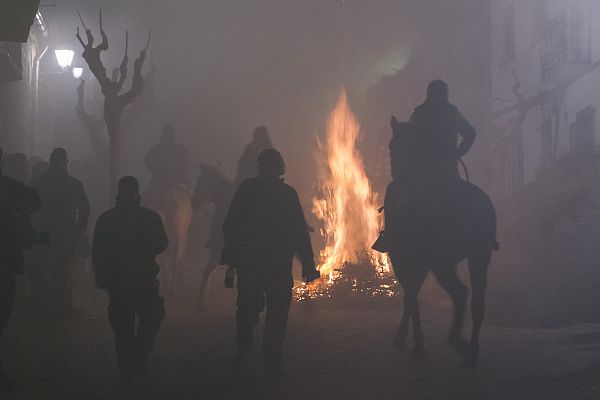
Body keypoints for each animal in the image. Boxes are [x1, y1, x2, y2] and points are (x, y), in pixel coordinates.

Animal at [384, 117, 496, 368]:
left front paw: (413, 344)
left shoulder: (404, 258)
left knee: (459, 293)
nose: (395, 173)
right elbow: (411, 296)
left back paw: (458, 343)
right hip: (473, 256)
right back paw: (468, 349)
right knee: (473, 298)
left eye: (392, 147)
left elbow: (411, 297)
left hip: (440, 261)